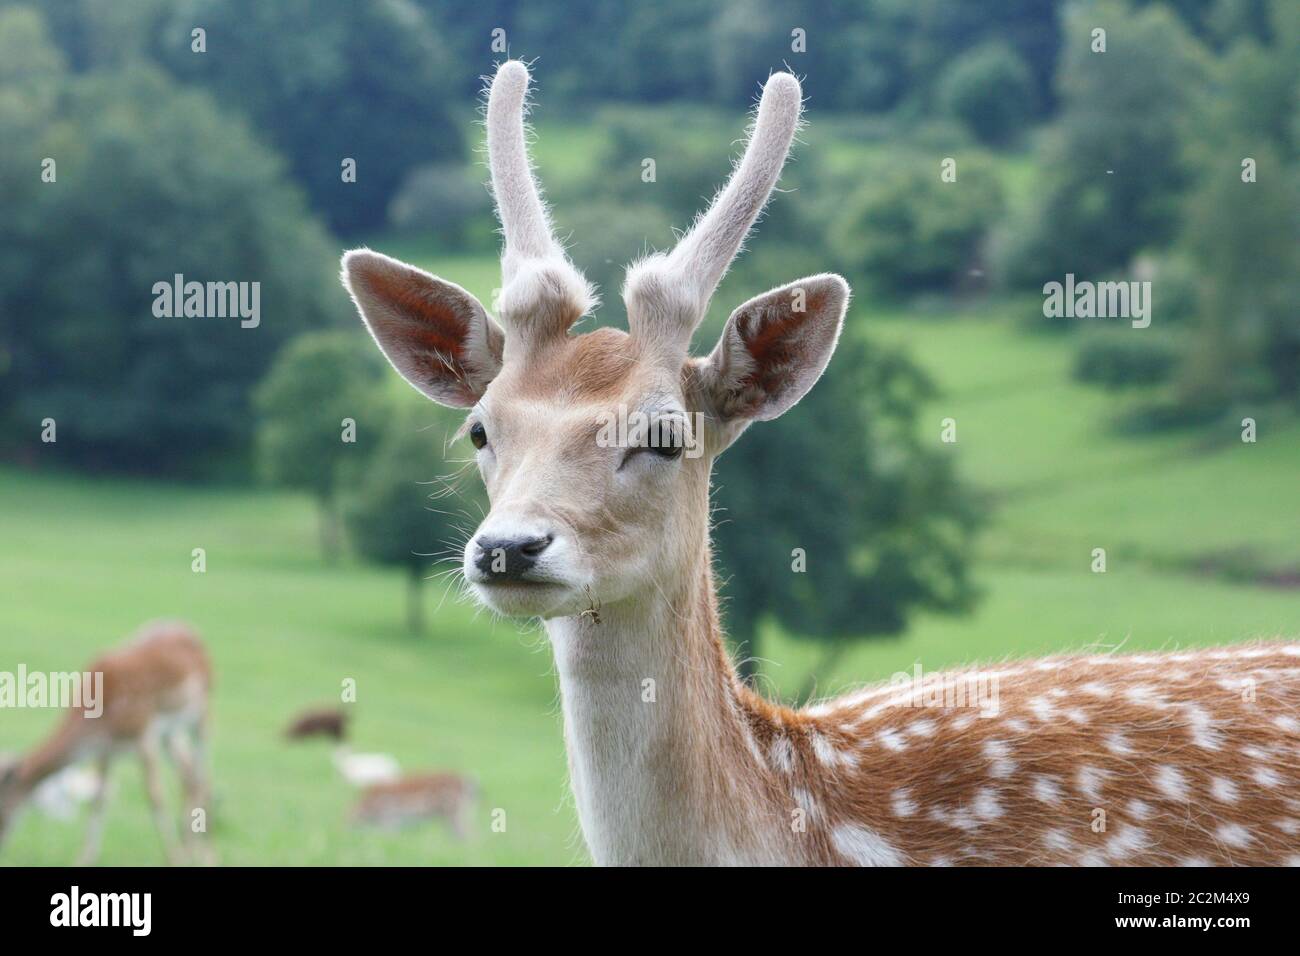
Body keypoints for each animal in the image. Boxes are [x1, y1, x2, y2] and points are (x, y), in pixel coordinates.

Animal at [0, 620, 214, 865]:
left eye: (1, 803)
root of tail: (190, 630)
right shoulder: (106, 748)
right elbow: (98, 799)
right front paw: (83, 859)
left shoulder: (143, 733)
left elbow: (155, 796)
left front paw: (174, 858)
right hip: (170, 734)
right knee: (188, 775)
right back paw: (191, 849)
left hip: (202, 712)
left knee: (202, 776)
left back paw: (205, 856)